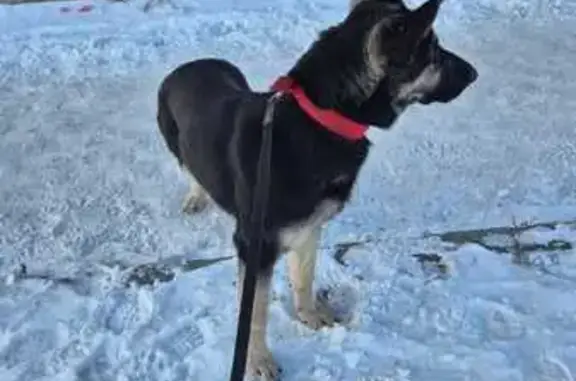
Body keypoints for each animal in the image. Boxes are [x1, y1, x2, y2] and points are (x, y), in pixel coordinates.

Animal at [156, 0, 476, 378]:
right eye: (434, 52)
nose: (474, 74)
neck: (318, 120)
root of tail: (190, 64)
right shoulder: (256, 246)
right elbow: (256, 312)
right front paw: (258, 360)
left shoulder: (309, 228)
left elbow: (304, 277)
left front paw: (309, 315)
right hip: (174, 139)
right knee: (189, 166)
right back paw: (196, 195)